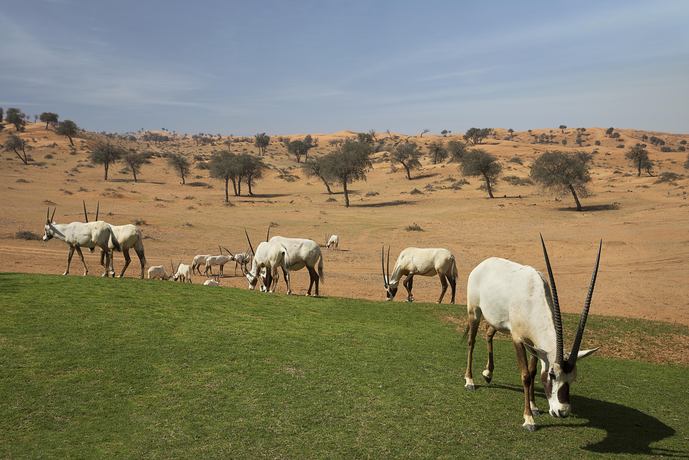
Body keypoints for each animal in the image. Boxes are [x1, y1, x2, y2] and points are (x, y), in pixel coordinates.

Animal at [462, 237, 600, 432]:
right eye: (552, 374)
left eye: (573, 377)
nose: (562, 411)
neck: (533, 295)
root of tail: (482, 265)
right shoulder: (518, 339)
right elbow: (526, 375)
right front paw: (528, 419)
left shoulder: (535, 344)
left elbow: (534, 372)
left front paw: (534, 407)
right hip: (474, 312)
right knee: (471, 342)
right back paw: (470, 381)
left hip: (496, 321)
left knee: (488, 334)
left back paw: (488, 373)